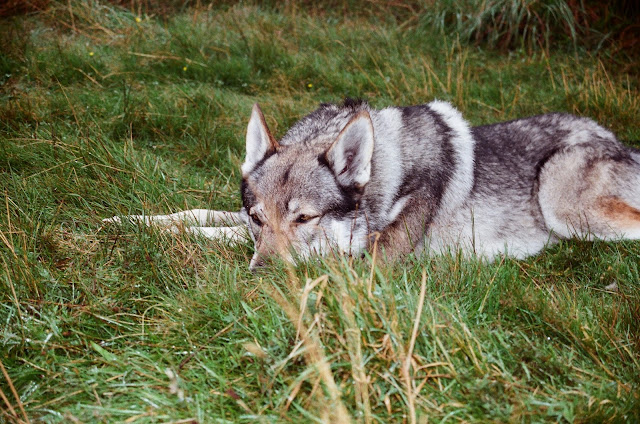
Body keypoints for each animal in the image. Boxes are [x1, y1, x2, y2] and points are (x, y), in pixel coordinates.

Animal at [104, 99, 640, 268]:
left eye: (305, 218)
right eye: (259, 217)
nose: (262, 275)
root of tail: (618, 139)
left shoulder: (369, 259)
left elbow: (214, 236)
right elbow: (196, 217)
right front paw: (126, 221)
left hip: (560, 203)